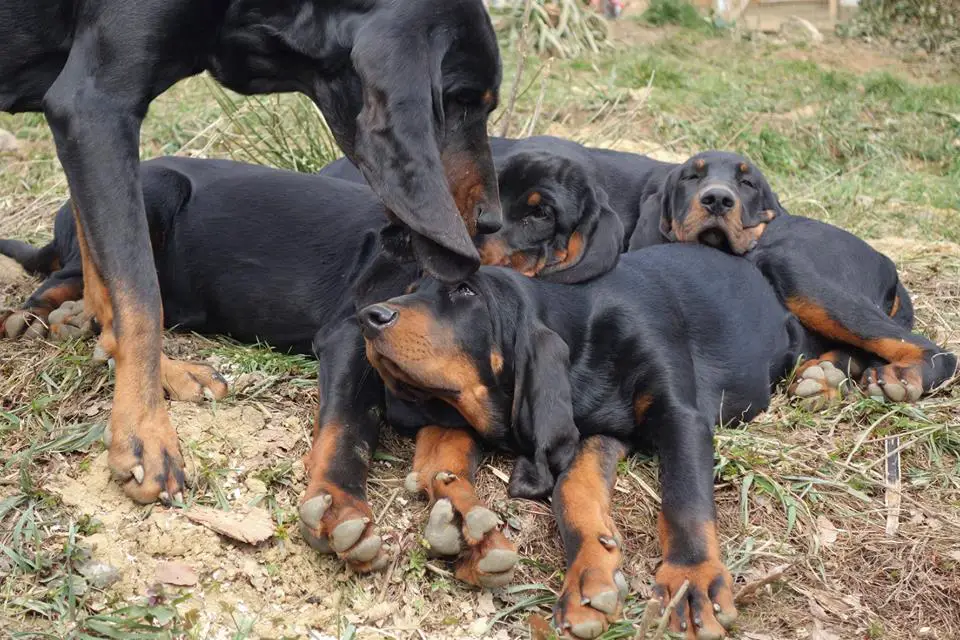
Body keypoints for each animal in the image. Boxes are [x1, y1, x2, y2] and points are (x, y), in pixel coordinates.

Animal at [0, 0, 506, 504]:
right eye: (460, 100)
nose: (492, 220)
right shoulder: (94, 107)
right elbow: (139, 293)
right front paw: (143, 435)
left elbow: (108, 275)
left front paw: (146, 365)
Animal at [360, 244, 832, 636]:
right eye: (411, 289)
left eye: (464, 291)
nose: (368, 316)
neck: (587, 337)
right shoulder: (601, 430)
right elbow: (573, 491)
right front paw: (590, 578)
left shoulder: (679, 415)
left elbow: (686, 498)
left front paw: (690, 578)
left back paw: (826, 379)